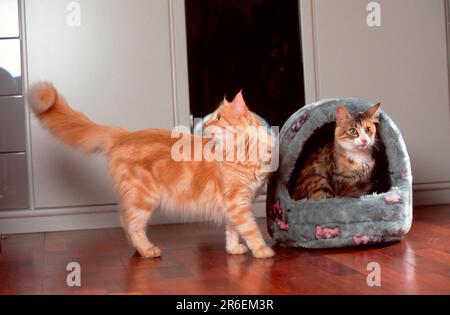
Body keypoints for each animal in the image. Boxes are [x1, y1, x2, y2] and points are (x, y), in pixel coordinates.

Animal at [29, 81, 274, 260]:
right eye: (213, 117)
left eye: (219, 118)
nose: (205, 125)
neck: (246, 153)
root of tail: (124, 134)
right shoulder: (236, 201)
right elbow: (250, 229)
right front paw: (263, 251)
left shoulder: (240, 201)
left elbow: (233, 230)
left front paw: (234, 249)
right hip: (144, 197)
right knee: (131, 223)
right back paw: (147, 250)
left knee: (125, 220)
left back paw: (139, 250)